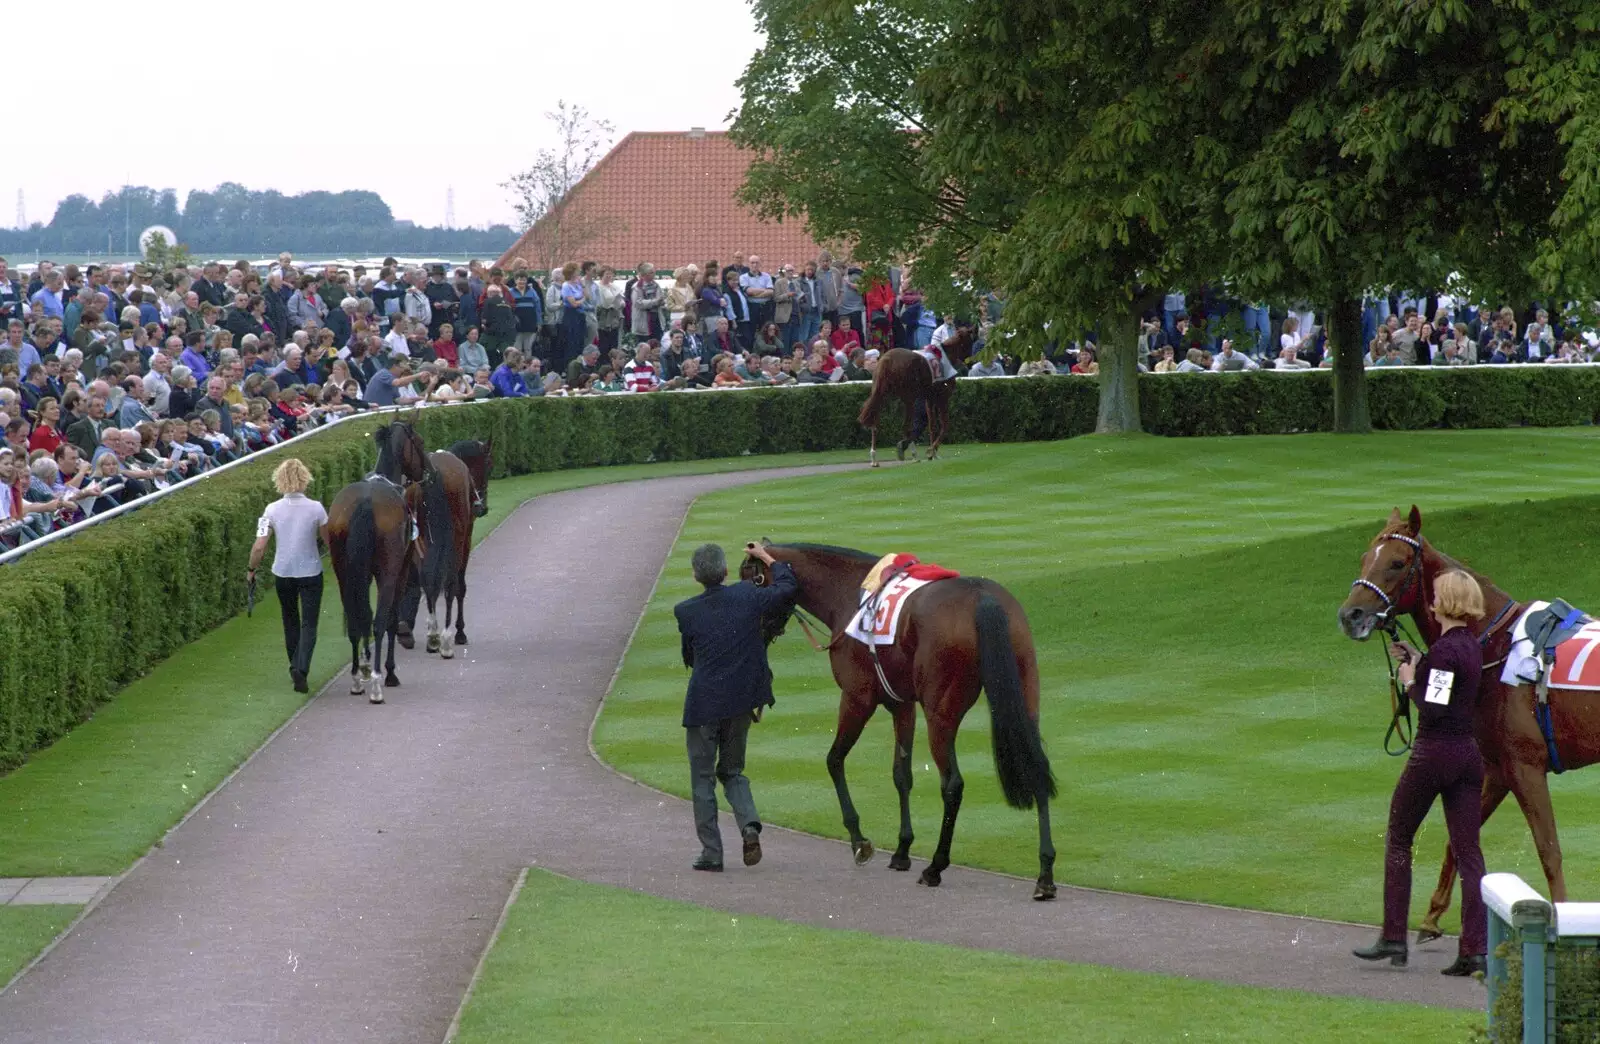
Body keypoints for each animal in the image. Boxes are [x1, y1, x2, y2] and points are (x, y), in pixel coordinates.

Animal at [739, 538, 1062, 896]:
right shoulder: (902, 705)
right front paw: (902, 849)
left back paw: (936, 866)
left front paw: (859, 840)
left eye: (748, 577)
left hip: (940, 713)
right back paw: (1045, 872)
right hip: (1025, 696)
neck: (849, 592)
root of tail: (983, 598)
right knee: (1036, 766)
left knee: (952, 784)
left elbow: (834, 760)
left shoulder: (857, 698)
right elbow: (901, 774)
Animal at [857, 333, 979, 467]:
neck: (946, 356)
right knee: (906, 426)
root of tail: (886, 359)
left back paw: (874, 458)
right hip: (908, 399)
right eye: (971, 340)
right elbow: (945, 425)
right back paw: (913, 454)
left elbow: (932, 425)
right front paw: (931, 451)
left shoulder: (929, 398)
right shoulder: (942, 398)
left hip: (881, 395)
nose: (970, 362)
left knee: (875, 424)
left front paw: (933, 453)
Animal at [1337, 509, 1600, 941]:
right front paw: (1432, 915)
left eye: (1397, 562)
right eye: (1363, 558)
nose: (1350, 616)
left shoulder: (1525, 767)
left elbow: (1549, 850)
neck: (1496, 644)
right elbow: (1459, 840)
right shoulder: (1497, 767)